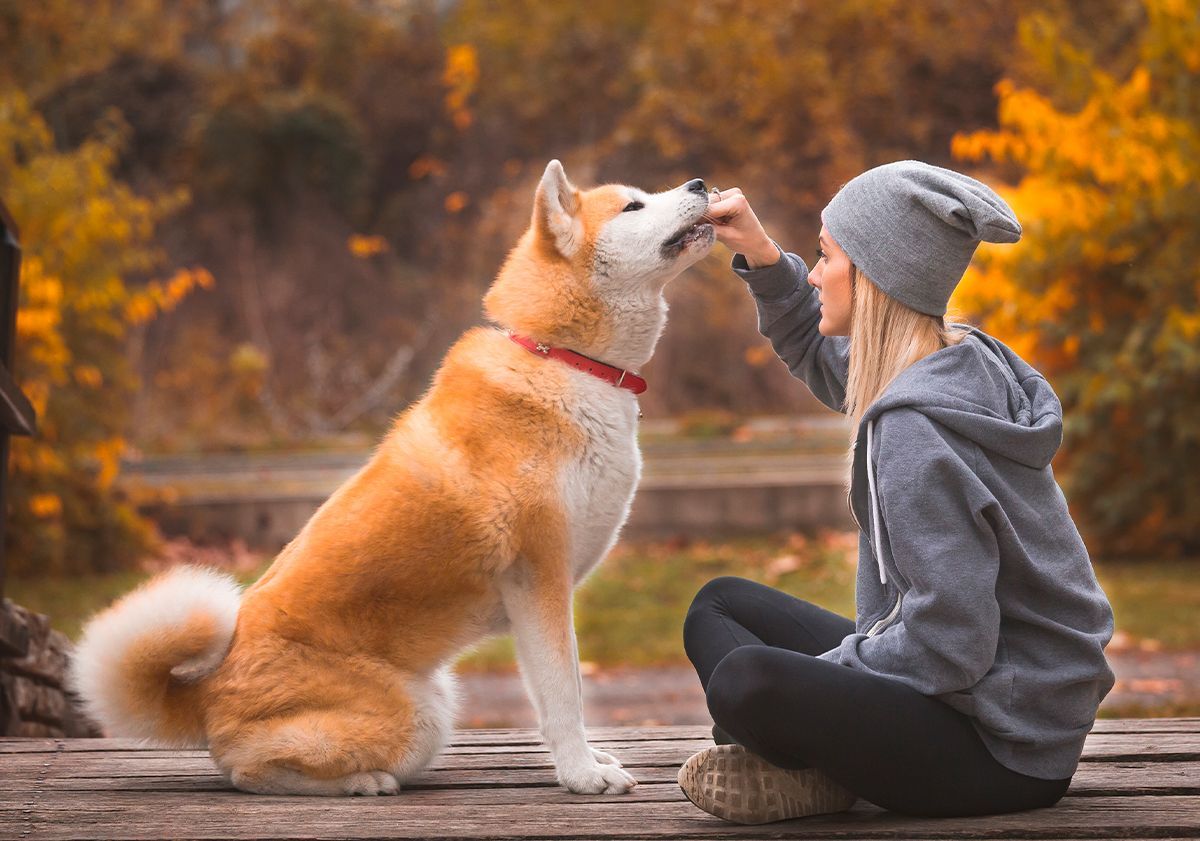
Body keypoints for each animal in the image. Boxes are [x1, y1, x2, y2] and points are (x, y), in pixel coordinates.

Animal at [68, 160, 710, 796]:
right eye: (633, 206)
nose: (701, 184)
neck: (563, 359)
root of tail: (206, 694)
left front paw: (590, 762)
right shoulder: (539, 581)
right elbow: (563, 694)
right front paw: (581, 775)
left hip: (437, 696)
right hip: (419, 715)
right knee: (247, 769)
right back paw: (362, 781)